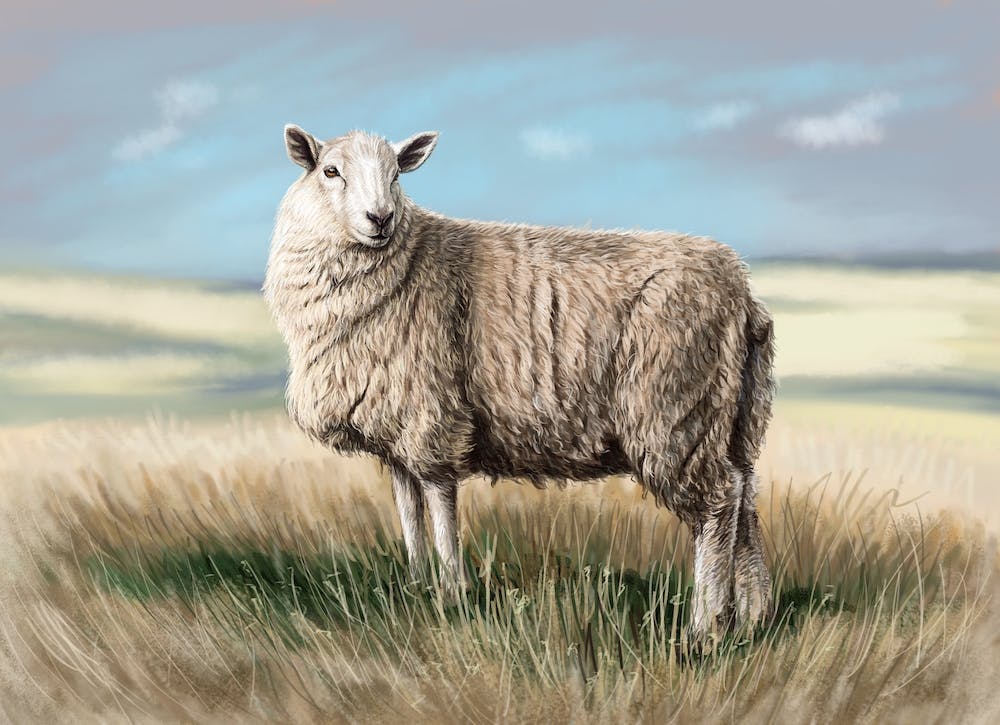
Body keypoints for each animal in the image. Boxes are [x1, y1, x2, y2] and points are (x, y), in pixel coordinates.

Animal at [263, 125, 776, 640]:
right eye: (331, 171)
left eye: (396, 175)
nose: (381, 218)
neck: (405, 263)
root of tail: (742, 291)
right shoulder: (395, 434)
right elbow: (409, 515)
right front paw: (416, 589)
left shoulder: (433, 421)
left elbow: (441, 509)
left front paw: (452, 596)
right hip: (731, 413)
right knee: (745, 495)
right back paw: (752, 616)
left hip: (675, 406)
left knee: (718, 502)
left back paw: (705, 627)